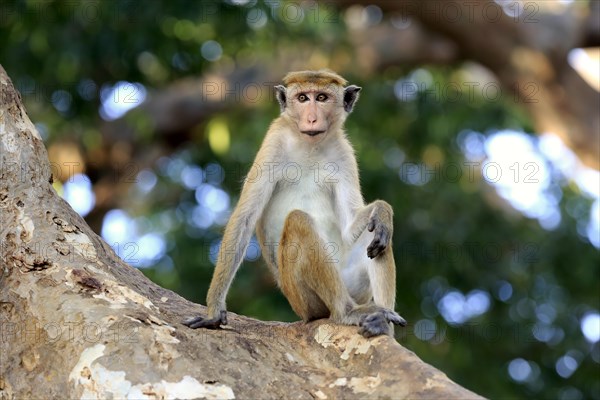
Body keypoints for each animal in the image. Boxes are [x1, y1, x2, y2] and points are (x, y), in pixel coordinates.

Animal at [184, 69, 408, 338]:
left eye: (321, 97)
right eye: (302, 98)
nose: (311, 119)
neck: (310, 144)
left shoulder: (344, 153)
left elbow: (351, 222)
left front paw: (382, 211)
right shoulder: (274, 141)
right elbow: (245, 217)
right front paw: (214, 313)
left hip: (353, 284)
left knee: (373, 236)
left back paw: (382, 324)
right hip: (305, 300)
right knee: (298, 221)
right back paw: (347, 313)